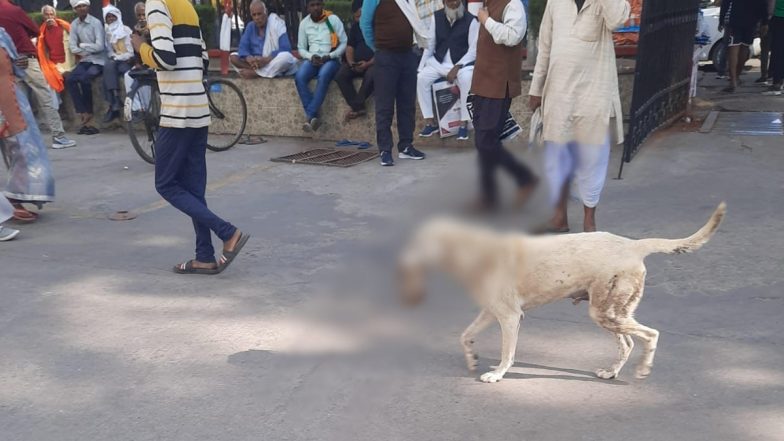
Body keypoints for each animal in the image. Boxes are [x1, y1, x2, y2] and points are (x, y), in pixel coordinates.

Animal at [402, 203, 724, 382]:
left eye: (421, 241)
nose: (403, 263)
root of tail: (634, 244)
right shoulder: (490, 312)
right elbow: (464, 335)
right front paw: (471, 358)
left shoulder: (510, 317)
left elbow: (507, 353)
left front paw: (497, 374)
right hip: (610, 314)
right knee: (628, 343)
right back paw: (611, 372)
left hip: (605, 313)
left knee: (650, 334)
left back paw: (643, 369)